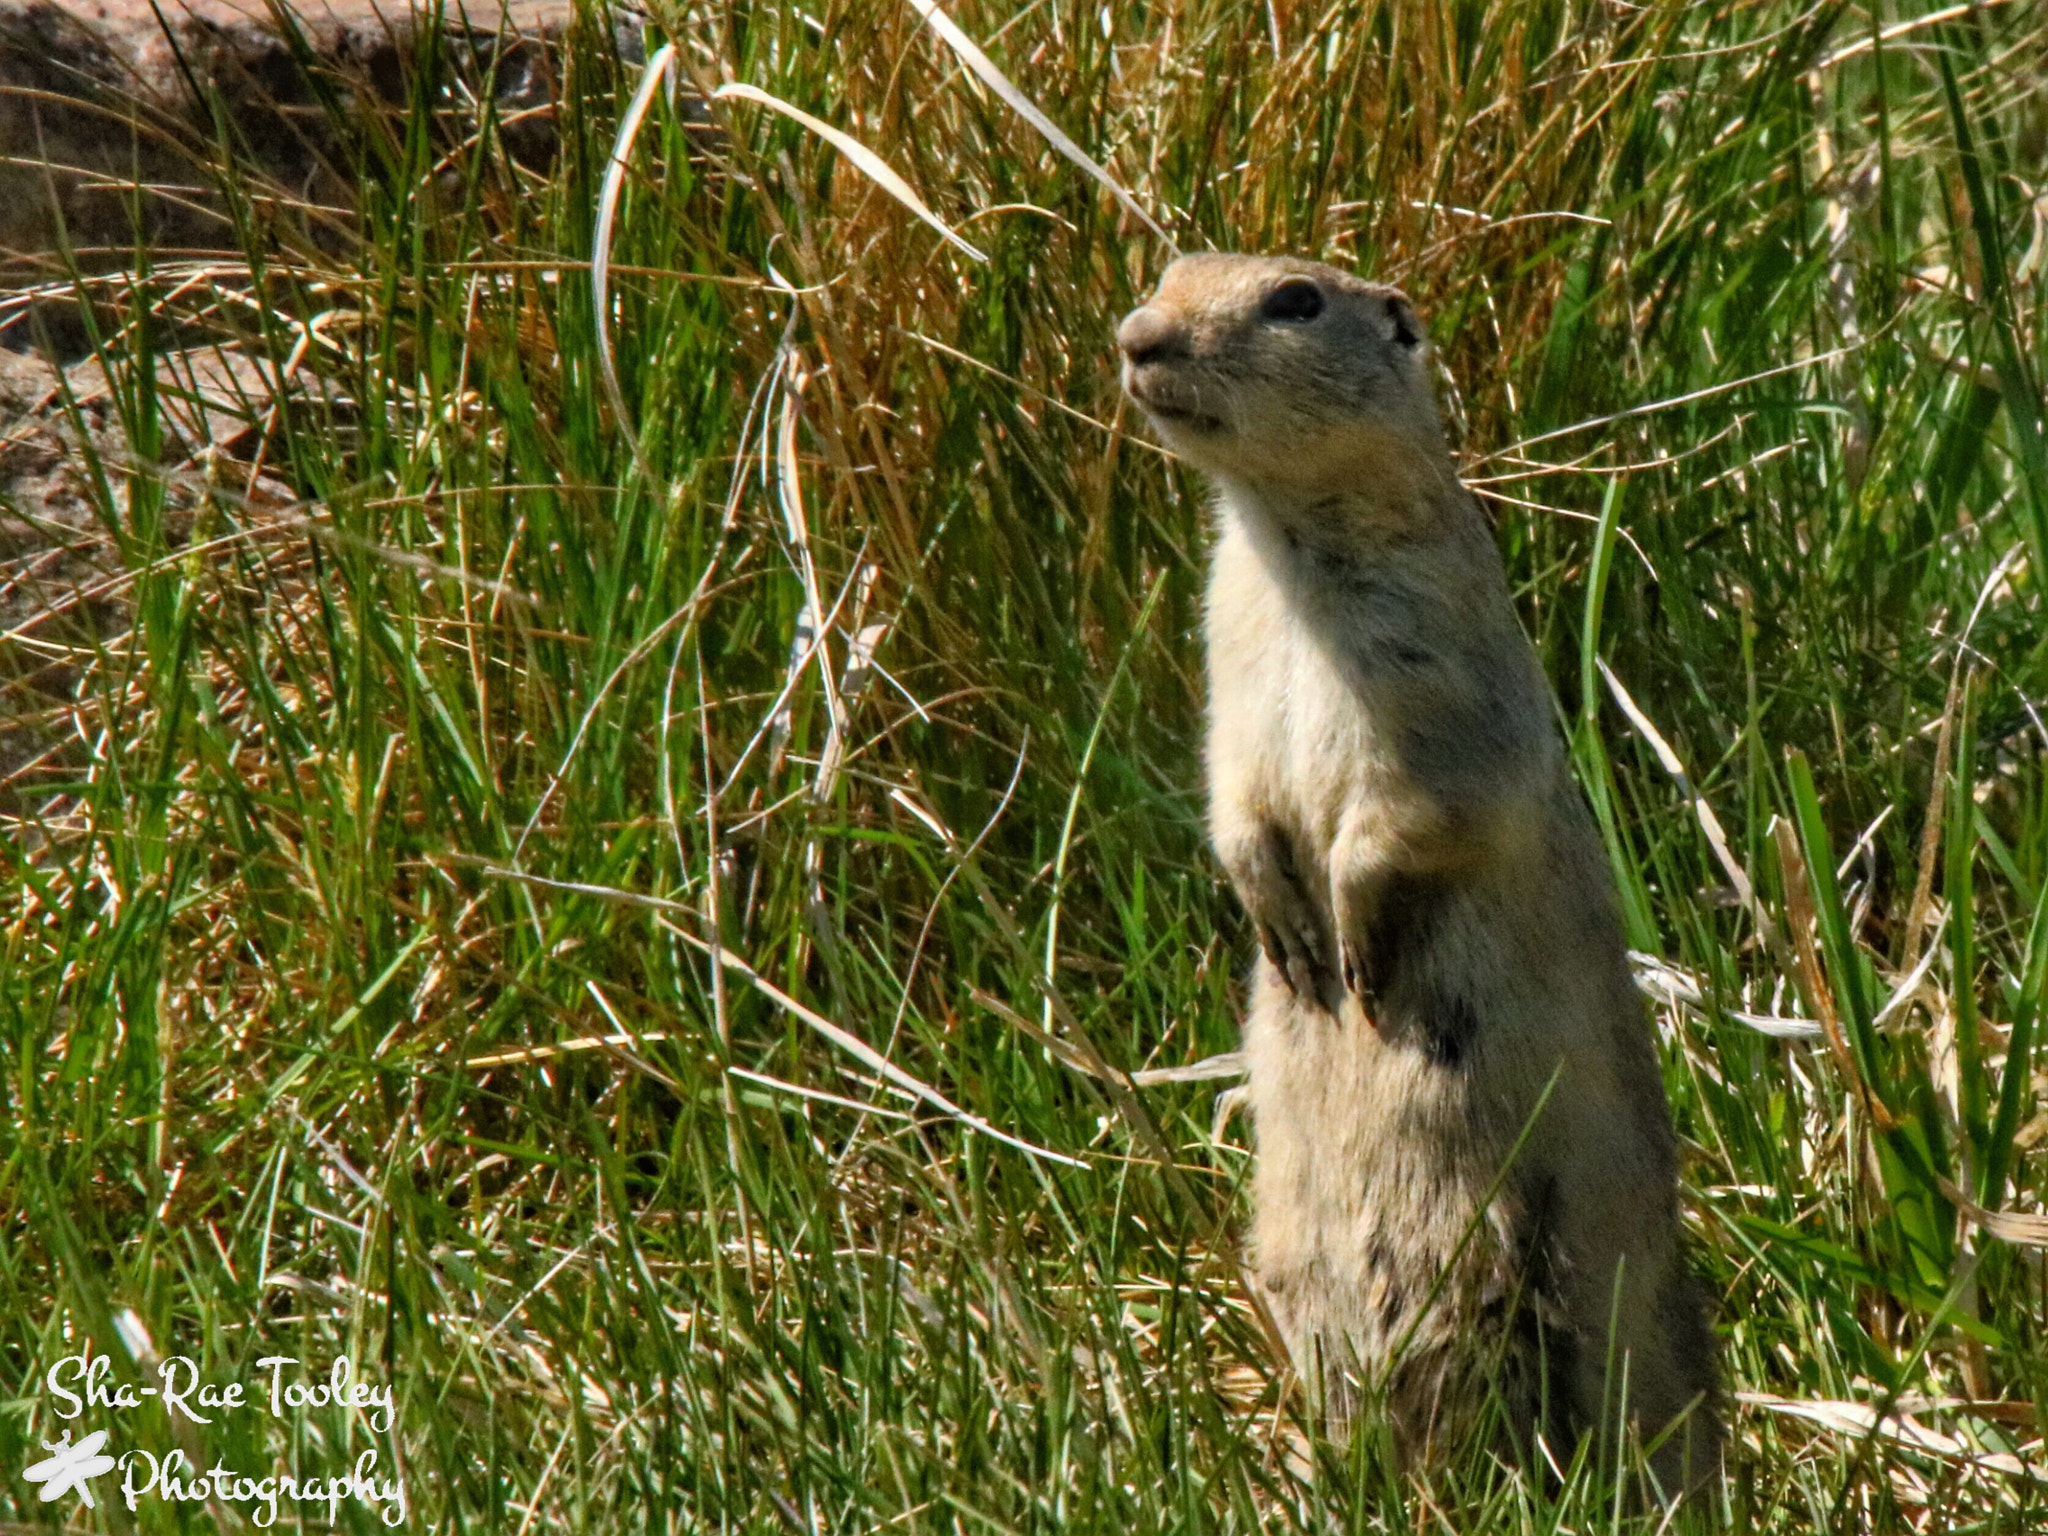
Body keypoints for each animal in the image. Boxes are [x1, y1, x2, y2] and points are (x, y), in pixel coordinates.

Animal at [1117, 254, 1720, 1495]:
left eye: (1294, 300)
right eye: (1167, 272)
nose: (1135, 336)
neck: (1282, 547)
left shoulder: (1436, 682)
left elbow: (1406, 817)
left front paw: (1349, 951)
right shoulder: (1227, 664)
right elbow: (1233, 800)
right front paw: (1283, 934)